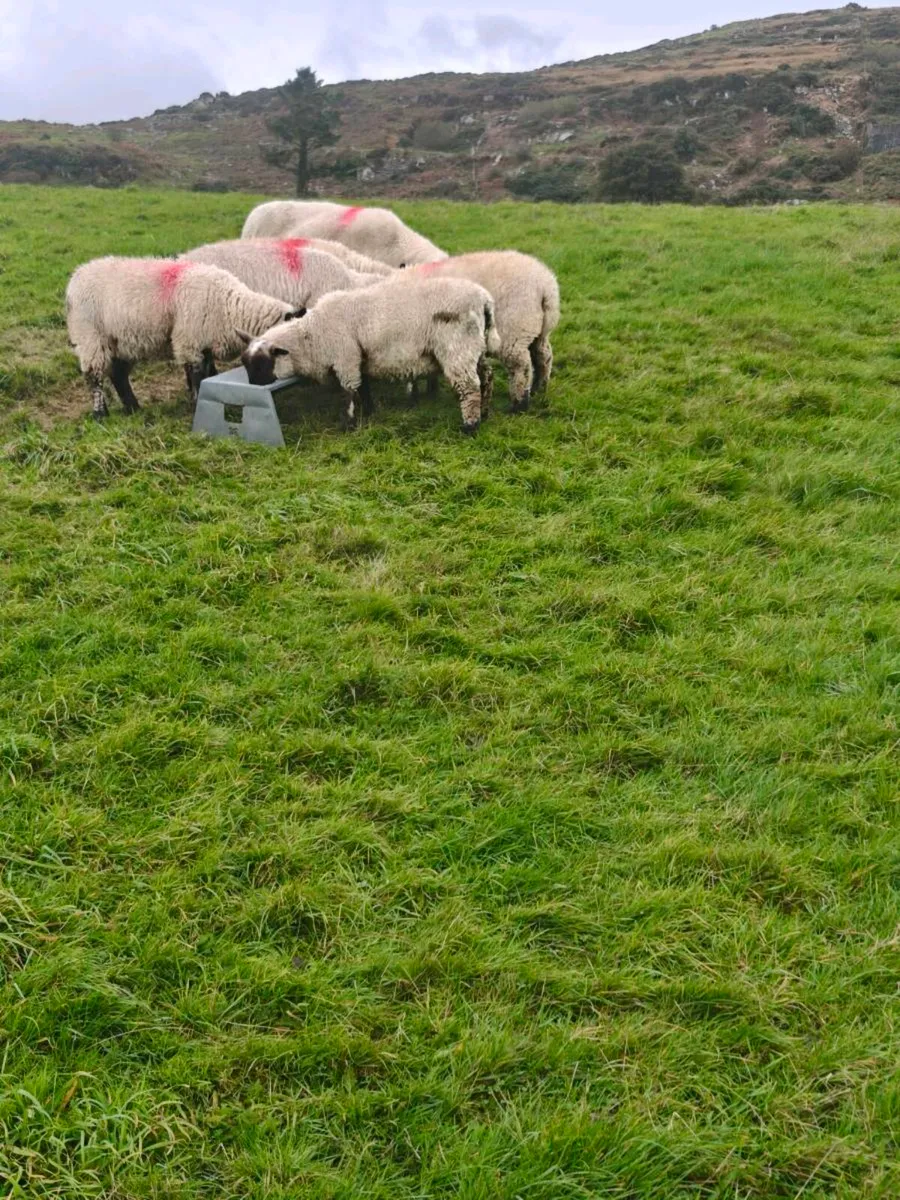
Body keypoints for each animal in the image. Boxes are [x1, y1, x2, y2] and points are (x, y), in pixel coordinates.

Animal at [66, 257, 304, 419]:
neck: (229, 306)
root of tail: (76, 276)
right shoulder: (190, 341)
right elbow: (196, 374)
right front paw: (197, 403)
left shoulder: (204, 343)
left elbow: (208, 372)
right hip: (91, 337)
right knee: (94, 376)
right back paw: (100, 414)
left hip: (122, 342)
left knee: (118, 375)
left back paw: (133, 408)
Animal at [238, 274, 500, 434]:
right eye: (245, 363)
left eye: (262, 363)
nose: (253, 385)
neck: (312, 334)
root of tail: (484, 299)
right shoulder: (358, 359)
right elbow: (363, 387)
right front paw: (369, 411)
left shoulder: (345, 358)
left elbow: (349, 392)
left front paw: (349, 424)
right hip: (474, 347)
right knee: (486, 376)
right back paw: (485, 413)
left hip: (457, 347)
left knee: (470, 387)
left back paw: (470, 426)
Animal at [409, 252, 560, 413]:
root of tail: (546, 285)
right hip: (536, 329)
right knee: (544, 355)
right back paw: (539, 389)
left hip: (514, 331)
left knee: (521, 366)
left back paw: (518, 404)